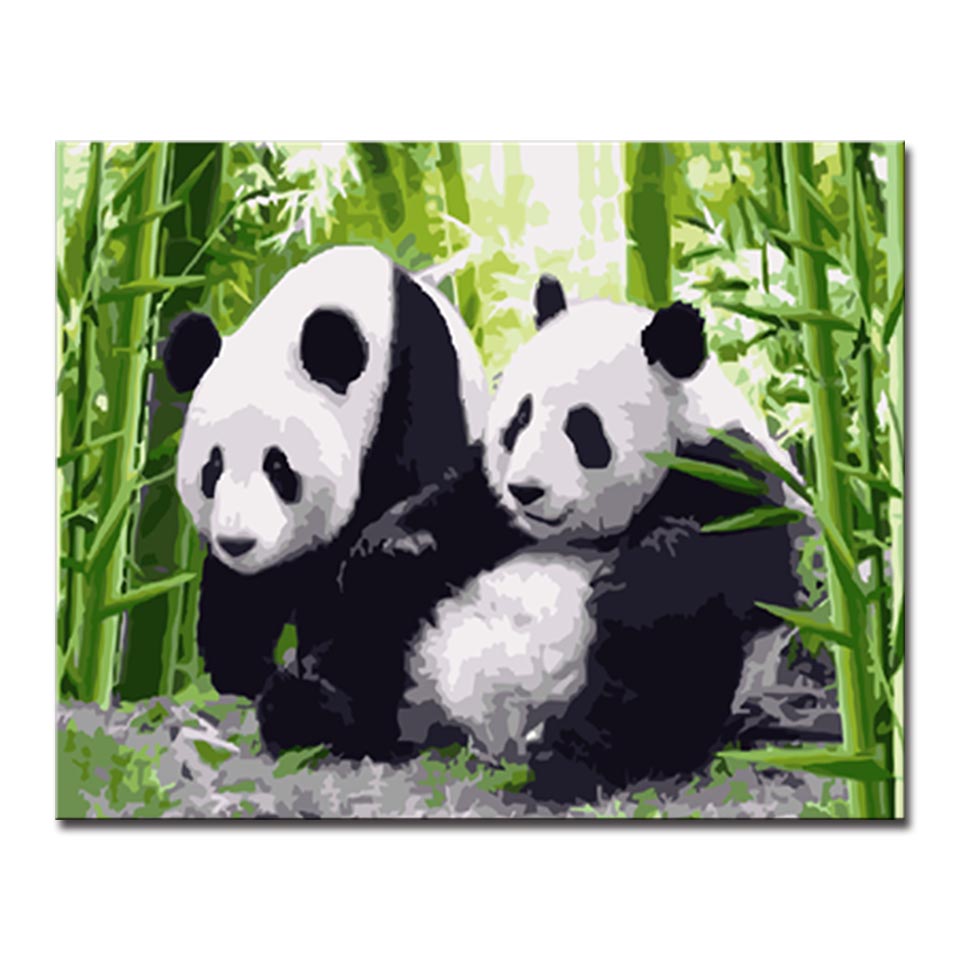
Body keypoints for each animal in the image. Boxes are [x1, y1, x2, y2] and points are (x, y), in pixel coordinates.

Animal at [163, 245, 488, 702]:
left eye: (277, 466)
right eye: (213, 467)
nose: (238, 543)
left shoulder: (416, 390)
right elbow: (244, 593)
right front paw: (247, 671)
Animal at [293, 273, 803, 800]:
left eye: (583, 428)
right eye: (519, 420)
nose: (526, 490)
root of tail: (467, 728)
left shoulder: (728, 470)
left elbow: (739, 572)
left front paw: (640, 578)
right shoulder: (487, 501)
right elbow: (448, 509)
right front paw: (396, 545)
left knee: (659, 675)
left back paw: (568, 763)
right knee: (374, 622)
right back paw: (317, 709)